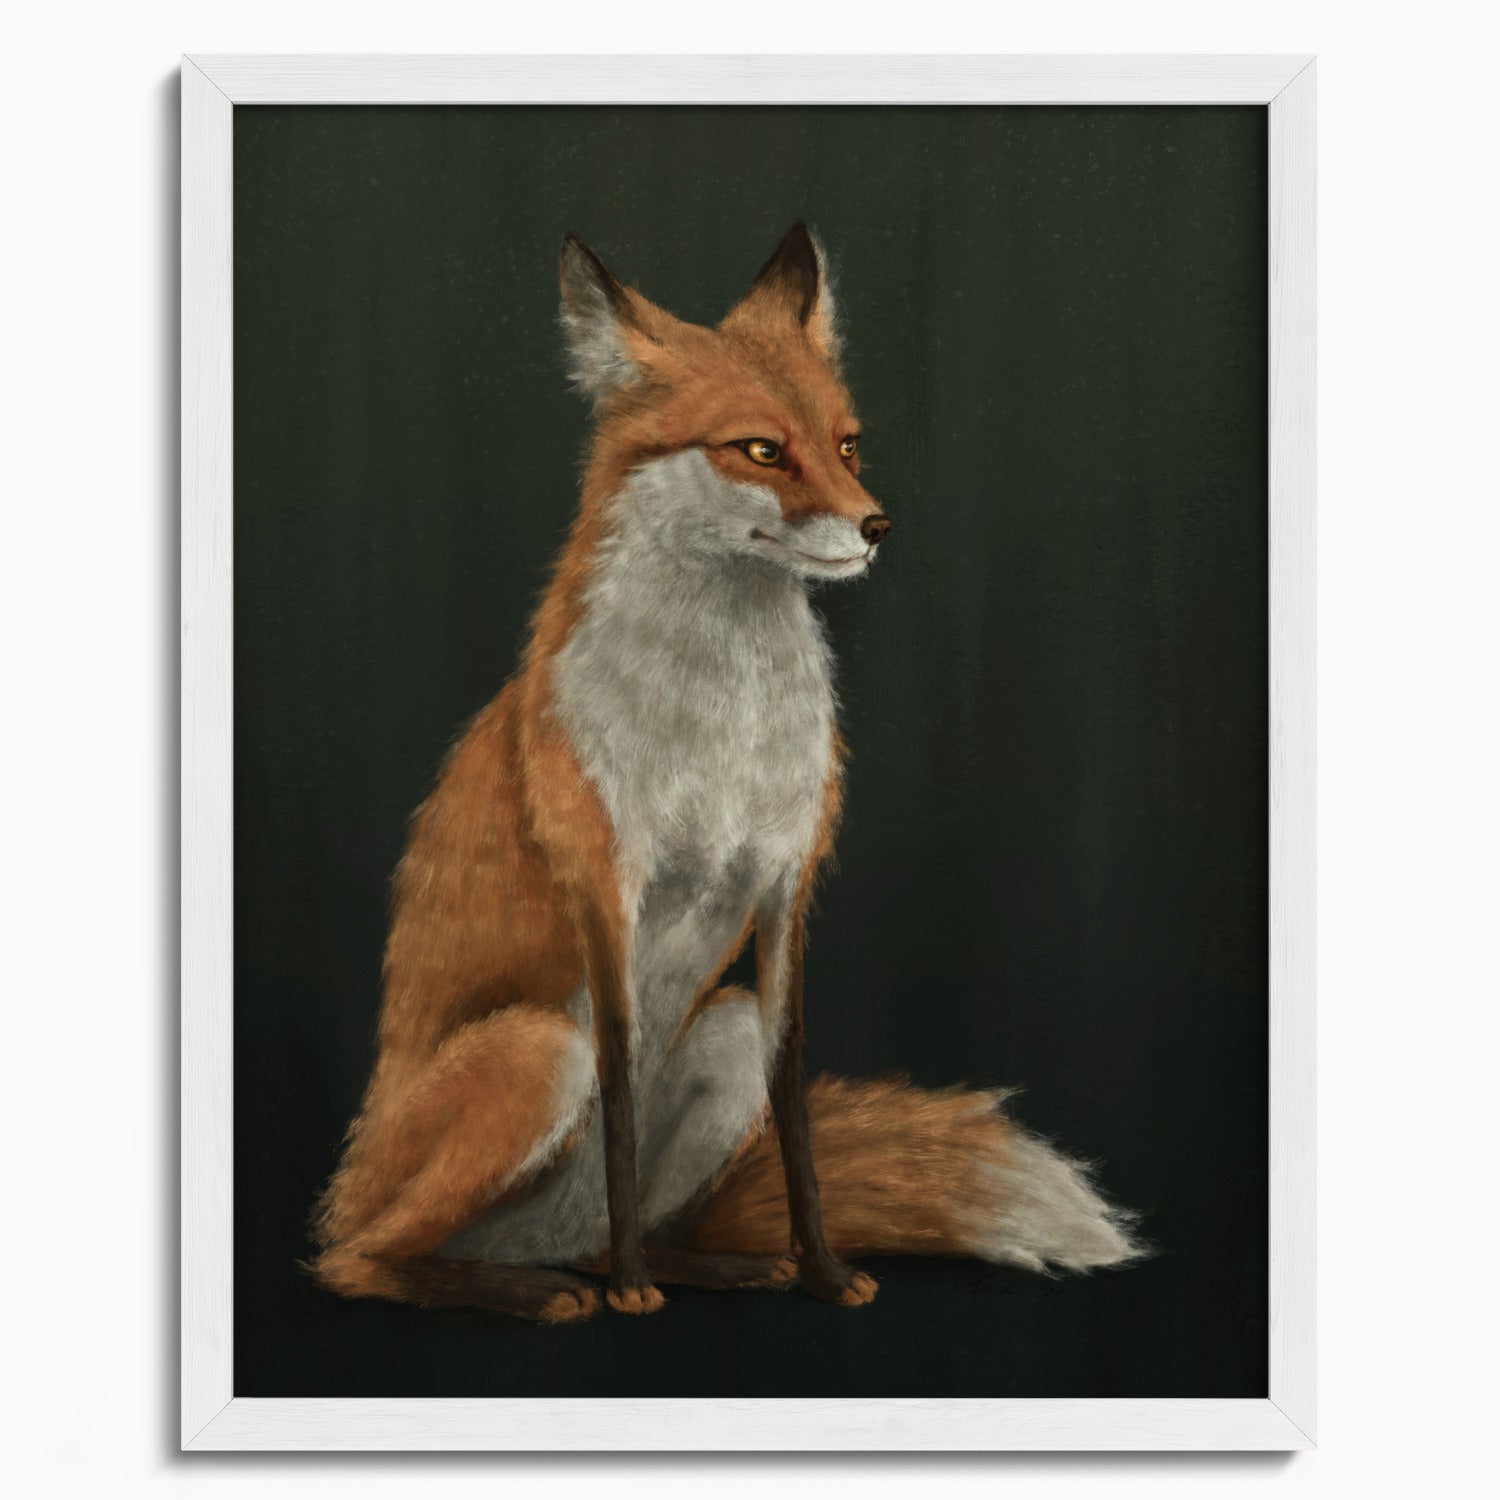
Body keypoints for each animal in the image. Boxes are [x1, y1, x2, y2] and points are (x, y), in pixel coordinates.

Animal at [310, 224, 1142, 1323]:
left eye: (847, 444)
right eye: (759, 450)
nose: (877, 525)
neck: (726, 731)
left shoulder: (787, 885)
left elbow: (794, 1111)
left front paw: (821, 1271)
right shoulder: (606, 887)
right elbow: (620, 1096)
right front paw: (634, 1292)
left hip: (722, 1032)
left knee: (604, 1227)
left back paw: (700, 1265)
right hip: (536, 1051)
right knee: (360, 1260)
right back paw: (546, 1288)